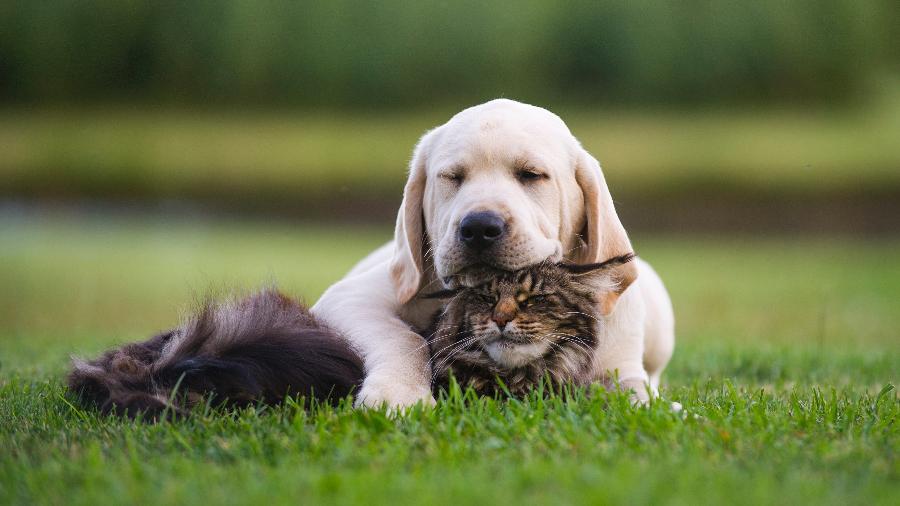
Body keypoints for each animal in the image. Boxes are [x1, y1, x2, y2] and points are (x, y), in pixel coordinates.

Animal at [312, 99, 672, 408]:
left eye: (531, 174)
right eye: (452, 177)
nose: (479, 227)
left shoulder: (620, 365)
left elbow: (634, 391)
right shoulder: (350, 297)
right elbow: (404, 337)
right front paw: (399, 393)